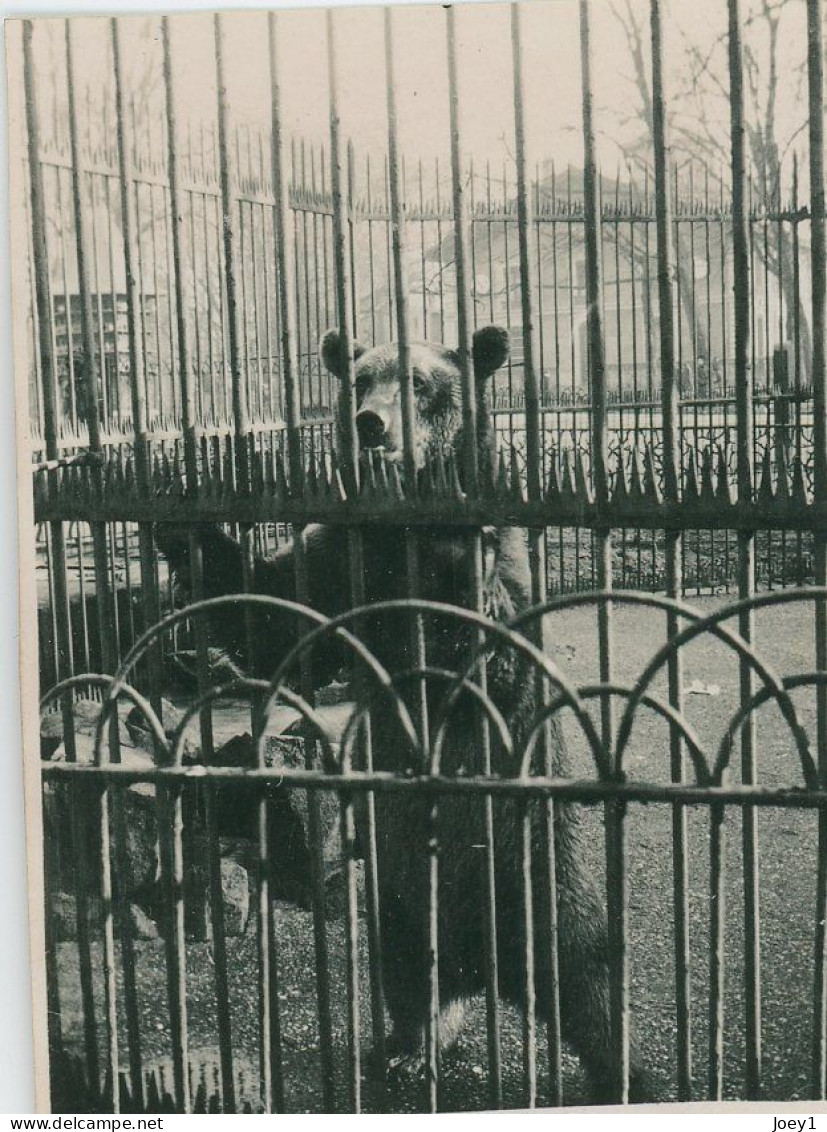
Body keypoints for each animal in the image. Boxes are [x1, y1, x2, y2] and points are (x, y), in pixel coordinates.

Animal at [154, 323, 656, 1100]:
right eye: (361, 380)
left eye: (422, 384)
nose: (372, 424)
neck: (402, 538)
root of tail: (487, 967)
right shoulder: (342, 563)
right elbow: (278, 621)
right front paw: (182, 525)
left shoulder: (492, 571)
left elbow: (489, 649)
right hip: (398, 895)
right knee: (409, 977)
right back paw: (408, 1046)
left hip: (541, 871)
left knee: (590, 981)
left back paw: (629, 1075)